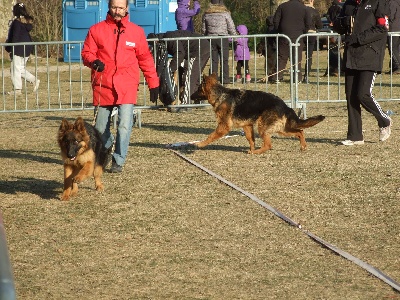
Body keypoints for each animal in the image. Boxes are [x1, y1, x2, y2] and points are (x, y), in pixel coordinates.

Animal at [196, 74, 324, 154]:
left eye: (198, 89)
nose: (192, 96)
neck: (220, 95)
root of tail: (284, 105)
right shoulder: (247, 126)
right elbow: (251, 139)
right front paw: (252, 148)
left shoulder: (223, 127)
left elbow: (210, 136)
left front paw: (200, 144)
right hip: (281, 129)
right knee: (300, 131)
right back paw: (303, 146)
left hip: (263, 128)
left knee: (268, 145)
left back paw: (257, 152)